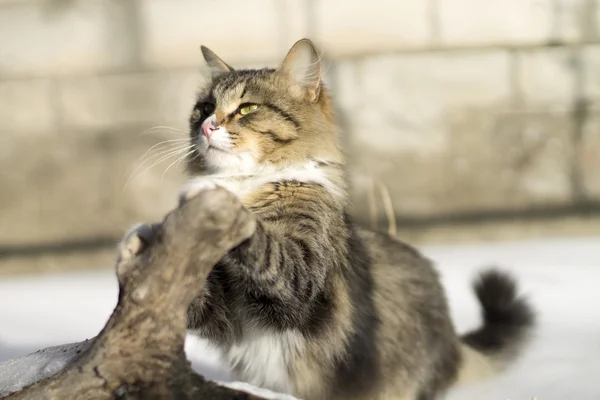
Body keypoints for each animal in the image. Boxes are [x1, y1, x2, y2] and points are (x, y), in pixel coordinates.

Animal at [125, 38, 536, 400]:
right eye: (204, 106)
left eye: (247, 109)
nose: (207, 126)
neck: (247, 183)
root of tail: (452, 337)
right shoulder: (224, 313)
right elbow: (188, 294)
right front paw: (138, 247)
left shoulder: (299, 283)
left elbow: (267, 247)